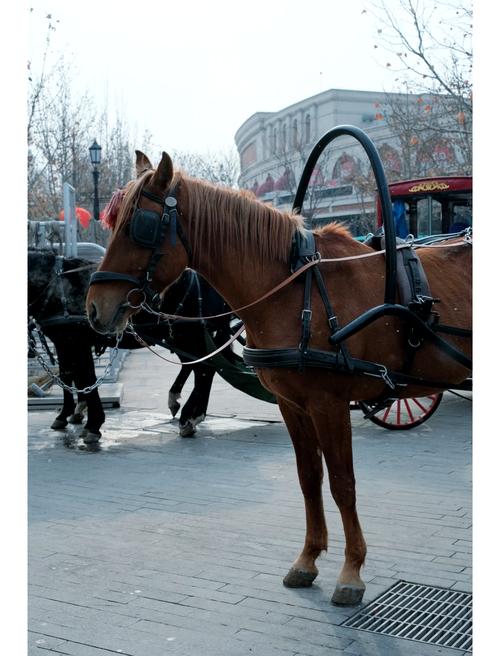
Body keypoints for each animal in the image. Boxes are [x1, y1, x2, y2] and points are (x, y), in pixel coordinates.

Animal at [28, 250, 234, 441]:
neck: (57, 287)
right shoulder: (64, 343)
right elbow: (69, 375)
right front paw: (68, 413)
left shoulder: (76, 341)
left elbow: (85, 378)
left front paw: (93, 423)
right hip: (180, 337)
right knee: (197, 365)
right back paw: (186, 406)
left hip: (190, 334)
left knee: (204, 369)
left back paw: (189, 417)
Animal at [85, 150, 472, 605]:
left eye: (138, 226)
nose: (94, 308)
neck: (294, 289)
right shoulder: (294, 406)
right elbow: (309, 479)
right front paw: (308, 559)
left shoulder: (329, 404)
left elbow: (342, 483)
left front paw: (351, 571)